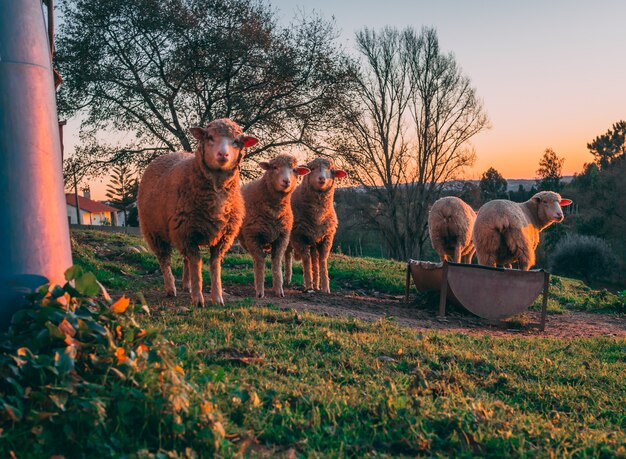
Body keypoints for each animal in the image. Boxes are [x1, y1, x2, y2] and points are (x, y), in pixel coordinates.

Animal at [136, 118, 256, 308]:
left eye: (237, 141)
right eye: (210, 137)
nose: (223, 155)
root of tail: (169, 154)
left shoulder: (221, 237)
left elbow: (214, 266)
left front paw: (217, 297)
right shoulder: (187, 232)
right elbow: (197, 264)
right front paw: (199, 299)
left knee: (185, 259)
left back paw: (187, 286)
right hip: (154, 230)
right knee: (164, 259)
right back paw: (171, 288)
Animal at [238, 154, 308, 298]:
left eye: (295, 170)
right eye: (274, 167)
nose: (286, 181)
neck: (274, 211)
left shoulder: (282, 237)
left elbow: (276, 263)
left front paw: (279, 290)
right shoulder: (252, 236)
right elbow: (260, 261)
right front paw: (260, 292)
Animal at [282, 160, 346, 292]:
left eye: (331, 170)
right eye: (312, 168)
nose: (322, 178)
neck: (318, 216)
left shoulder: (326, 237)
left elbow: (322, 260)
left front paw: (325, 288)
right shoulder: (299, 236)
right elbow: (306, 259)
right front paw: (308, 285)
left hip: (313, 239)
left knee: (314, 259)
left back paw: (316, 284)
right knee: (287, 255)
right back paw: (287, 280)